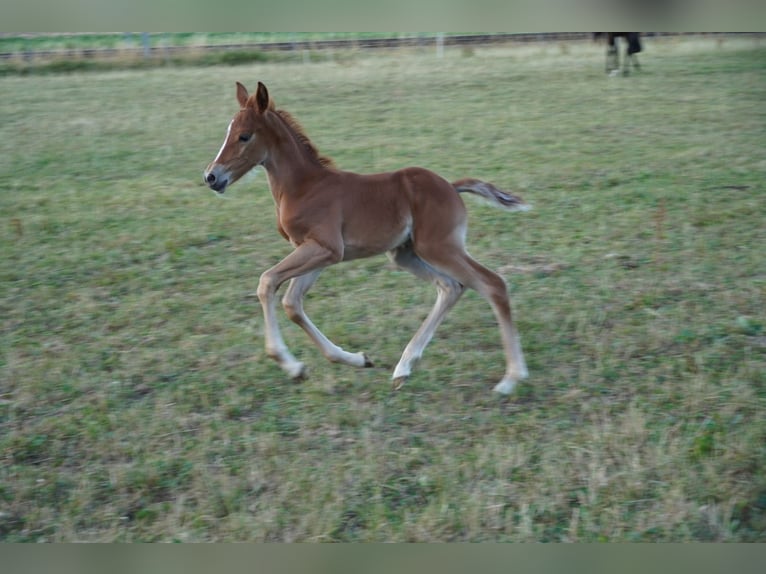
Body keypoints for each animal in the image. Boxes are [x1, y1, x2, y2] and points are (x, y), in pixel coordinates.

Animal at [203, 81, 530, 394]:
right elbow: (292, 304)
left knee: (492, 284)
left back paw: (511, 379)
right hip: (405, 253)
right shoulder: (318, 252)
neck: (304, 186)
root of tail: (451, 186)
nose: (211, 177)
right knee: (451, 287)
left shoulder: (326, 249)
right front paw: (356, 360)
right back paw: (403, 369)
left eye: (244, 136)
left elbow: (267, 282)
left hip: (439, 247)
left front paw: (292, 366)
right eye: (228, 132)